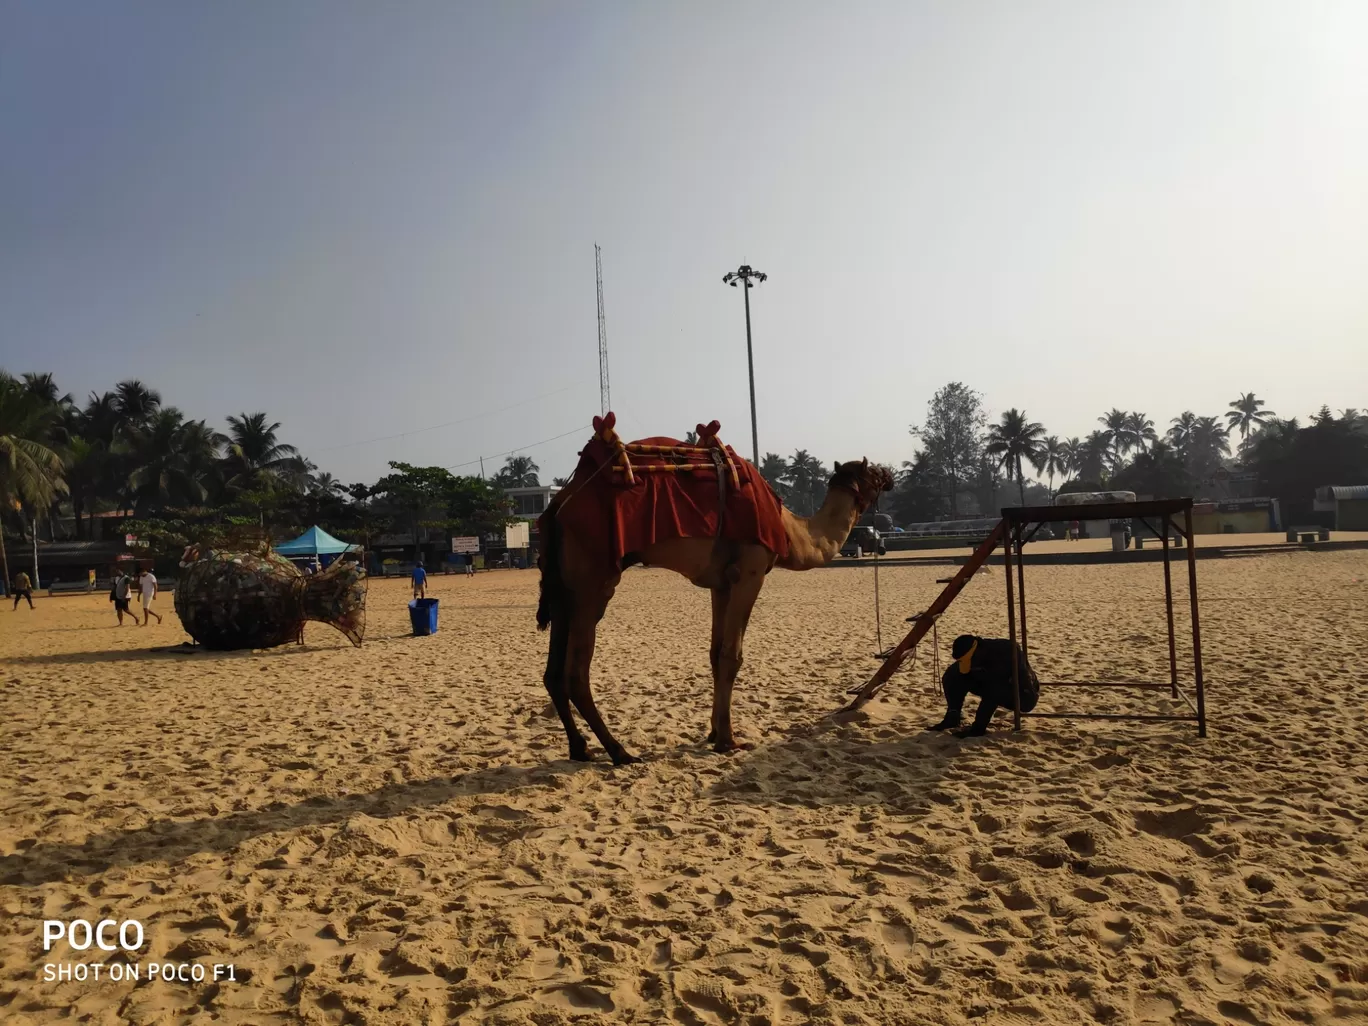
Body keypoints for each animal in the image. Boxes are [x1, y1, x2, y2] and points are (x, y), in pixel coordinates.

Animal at [528, 415, 891, 766]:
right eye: (873, 471)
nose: (889, 473)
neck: (791, 532)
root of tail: (559, 504)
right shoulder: (750, 572)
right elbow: (732, 656)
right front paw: (729, 740)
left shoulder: (722, 583)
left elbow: (716, 654)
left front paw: (715, 732)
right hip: (592, 580)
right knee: (576, 673)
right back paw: (619, 752)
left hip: (562, 585)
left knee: (553, 672)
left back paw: (580, 748)